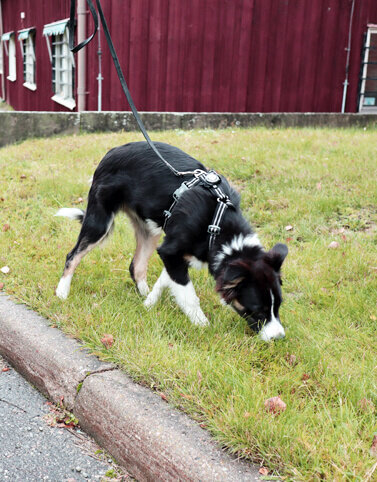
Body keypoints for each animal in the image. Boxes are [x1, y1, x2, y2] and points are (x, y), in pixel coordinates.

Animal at [54, 141, 286, 340]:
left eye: (277, 307)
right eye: (258, 310)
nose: (279, 338)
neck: (218, 225)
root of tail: (112, 151)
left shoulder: (174, 253)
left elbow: (166, 280)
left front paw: (148, 304)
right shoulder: (170, 251)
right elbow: (188, 295)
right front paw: (202, 325)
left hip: (149, 230)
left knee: (136, 266)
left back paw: (142, 293)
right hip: (100, 221)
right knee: (72, 255)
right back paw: (62, 292)